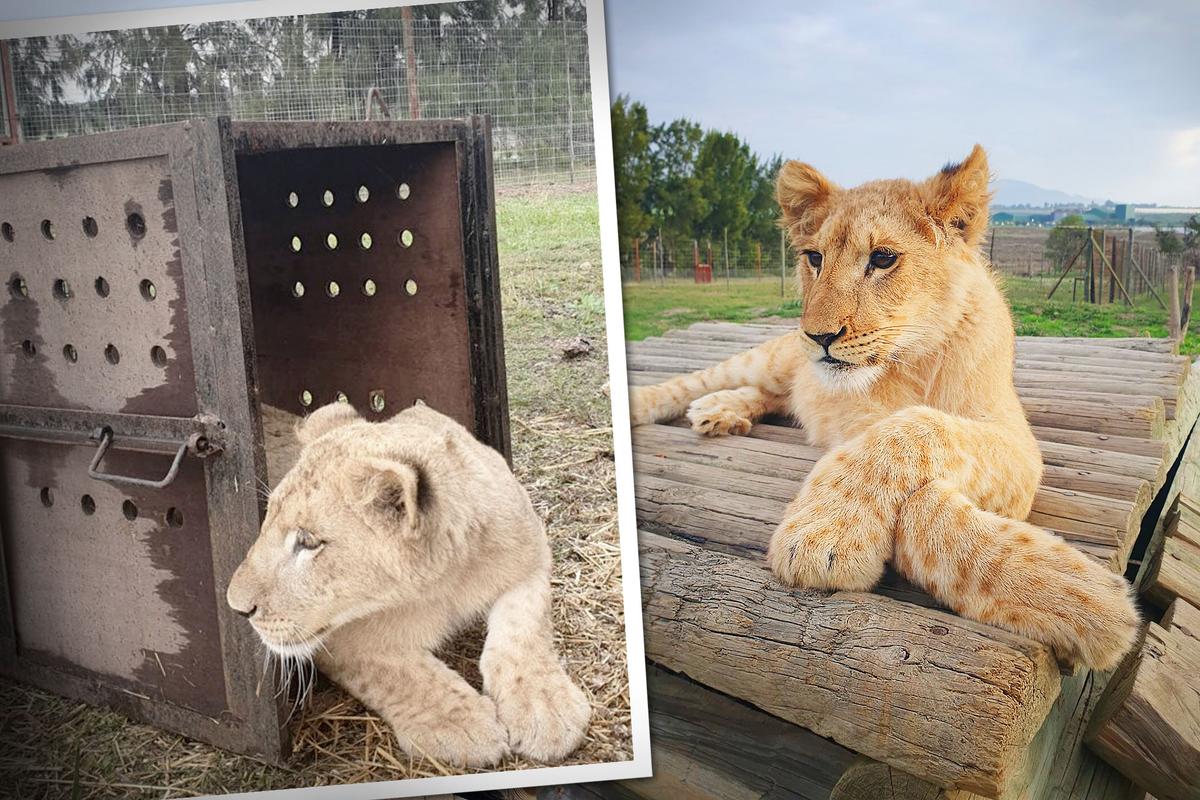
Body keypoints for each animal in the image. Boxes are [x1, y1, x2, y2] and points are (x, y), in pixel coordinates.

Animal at [226, 401, 590, 767]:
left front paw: (545, 708)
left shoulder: (533, 554)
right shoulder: (338, 640)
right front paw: (460, 724)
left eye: (308, 542)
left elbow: (523, 628)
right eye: (265, 520)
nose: (236, 608)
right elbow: (397, 673)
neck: (446, 581)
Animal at [629, 145, 1139, 670]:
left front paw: (1081, 600)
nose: (819, 336)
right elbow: (910, 470)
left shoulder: (1017, 444)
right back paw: (652, 404)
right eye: (814, 258)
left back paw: (720, 411)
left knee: (772, 395)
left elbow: (918, 429)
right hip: (769, 358)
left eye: (883, 258)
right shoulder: (858, 423)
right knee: (700, 380)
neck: (919, 357)